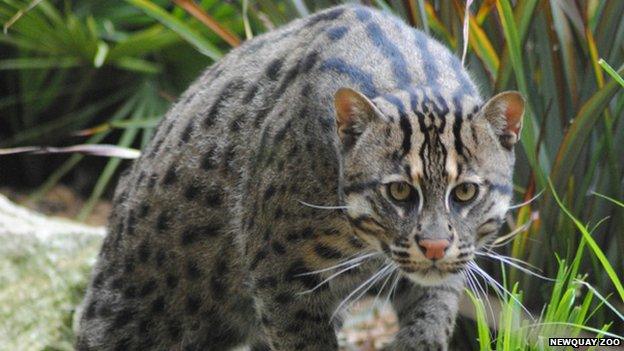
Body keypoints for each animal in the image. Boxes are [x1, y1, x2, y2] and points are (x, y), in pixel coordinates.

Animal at [79, 3, 528, 351]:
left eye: (465, 192)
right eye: (399, 191)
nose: (434, 247)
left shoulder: (442, 270)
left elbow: (433, 317)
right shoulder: (280, 276)